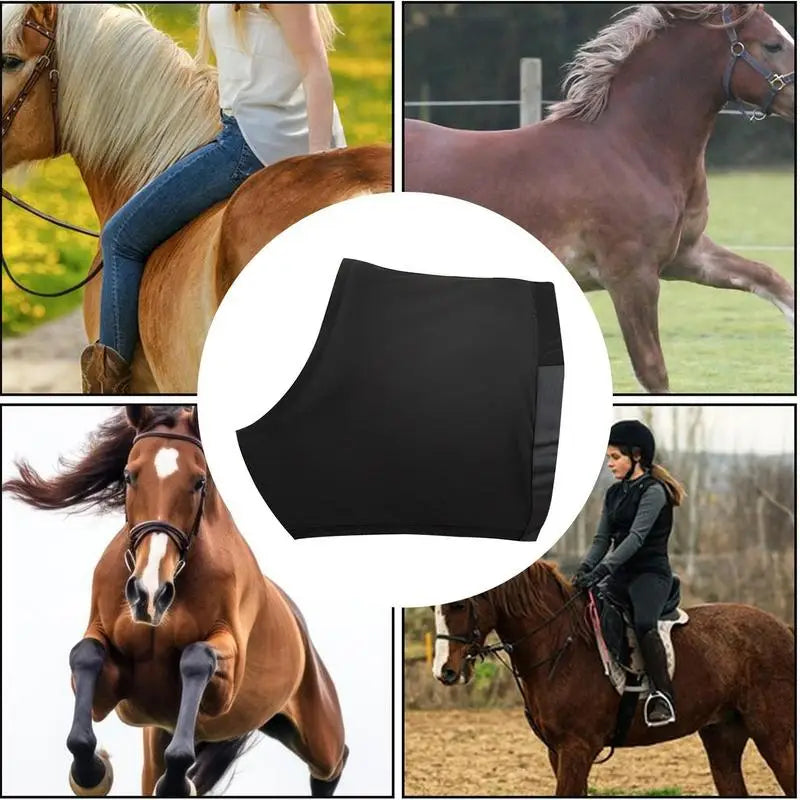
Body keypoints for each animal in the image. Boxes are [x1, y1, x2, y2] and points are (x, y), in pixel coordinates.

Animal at [2, 405, 348, 797]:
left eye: (199, 481)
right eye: (128, 475)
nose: (150, 594)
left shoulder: (225, 681)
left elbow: (196, 659)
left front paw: (176, 780)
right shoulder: (115, 679)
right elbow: (86, 655)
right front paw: (91, 771)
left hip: (319, 730)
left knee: (334, 760)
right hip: (160, 738)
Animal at [404, 4, 795, 393]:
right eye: (773, 44)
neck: (633, 147)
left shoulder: (685, 255)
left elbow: (771, 278)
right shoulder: (631, 276)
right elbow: (653, 372)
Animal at [432, 561, 795, 797]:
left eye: (460, 604)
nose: (444, 671)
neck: (561, 646)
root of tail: (783, 629)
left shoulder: (577, 749)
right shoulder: (557, 752)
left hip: (774, 734)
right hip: (722, 735)